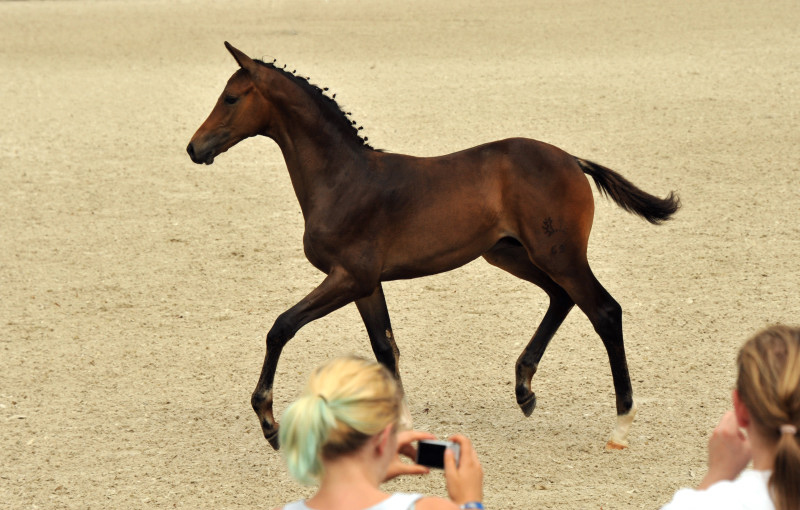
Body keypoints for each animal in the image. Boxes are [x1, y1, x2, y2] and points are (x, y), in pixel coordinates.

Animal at [189, 42, 680, 450]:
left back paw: (620, 424)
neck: (342, 179)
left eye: (231, 98)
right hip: (509, 253)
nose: (195, 148)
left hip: (558, 255)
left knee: (604, 311)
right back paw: (524, 390)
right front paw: (401, 425)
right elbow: (385, 348)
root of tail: (572, 160)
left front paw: (269, 422)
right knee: (561, 298)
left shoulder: (349, 277)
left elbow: (281, 327)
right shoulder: (365, 284)